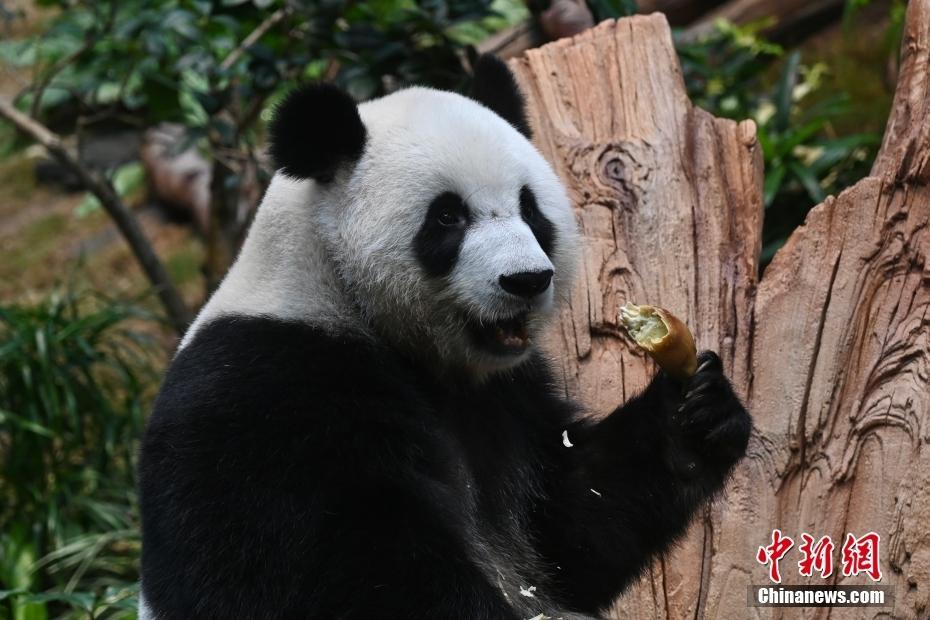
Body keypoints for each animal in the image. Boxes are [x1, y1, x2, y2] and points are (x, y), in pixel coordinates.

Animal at [136, 55, 748, 616]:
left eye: (530, 208)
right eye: (448, 217)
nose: (526, 280)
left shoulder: (507, 398)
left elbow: (571, 533)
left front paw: (698, 412)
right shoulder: (270, 393)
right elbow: (341, 573)